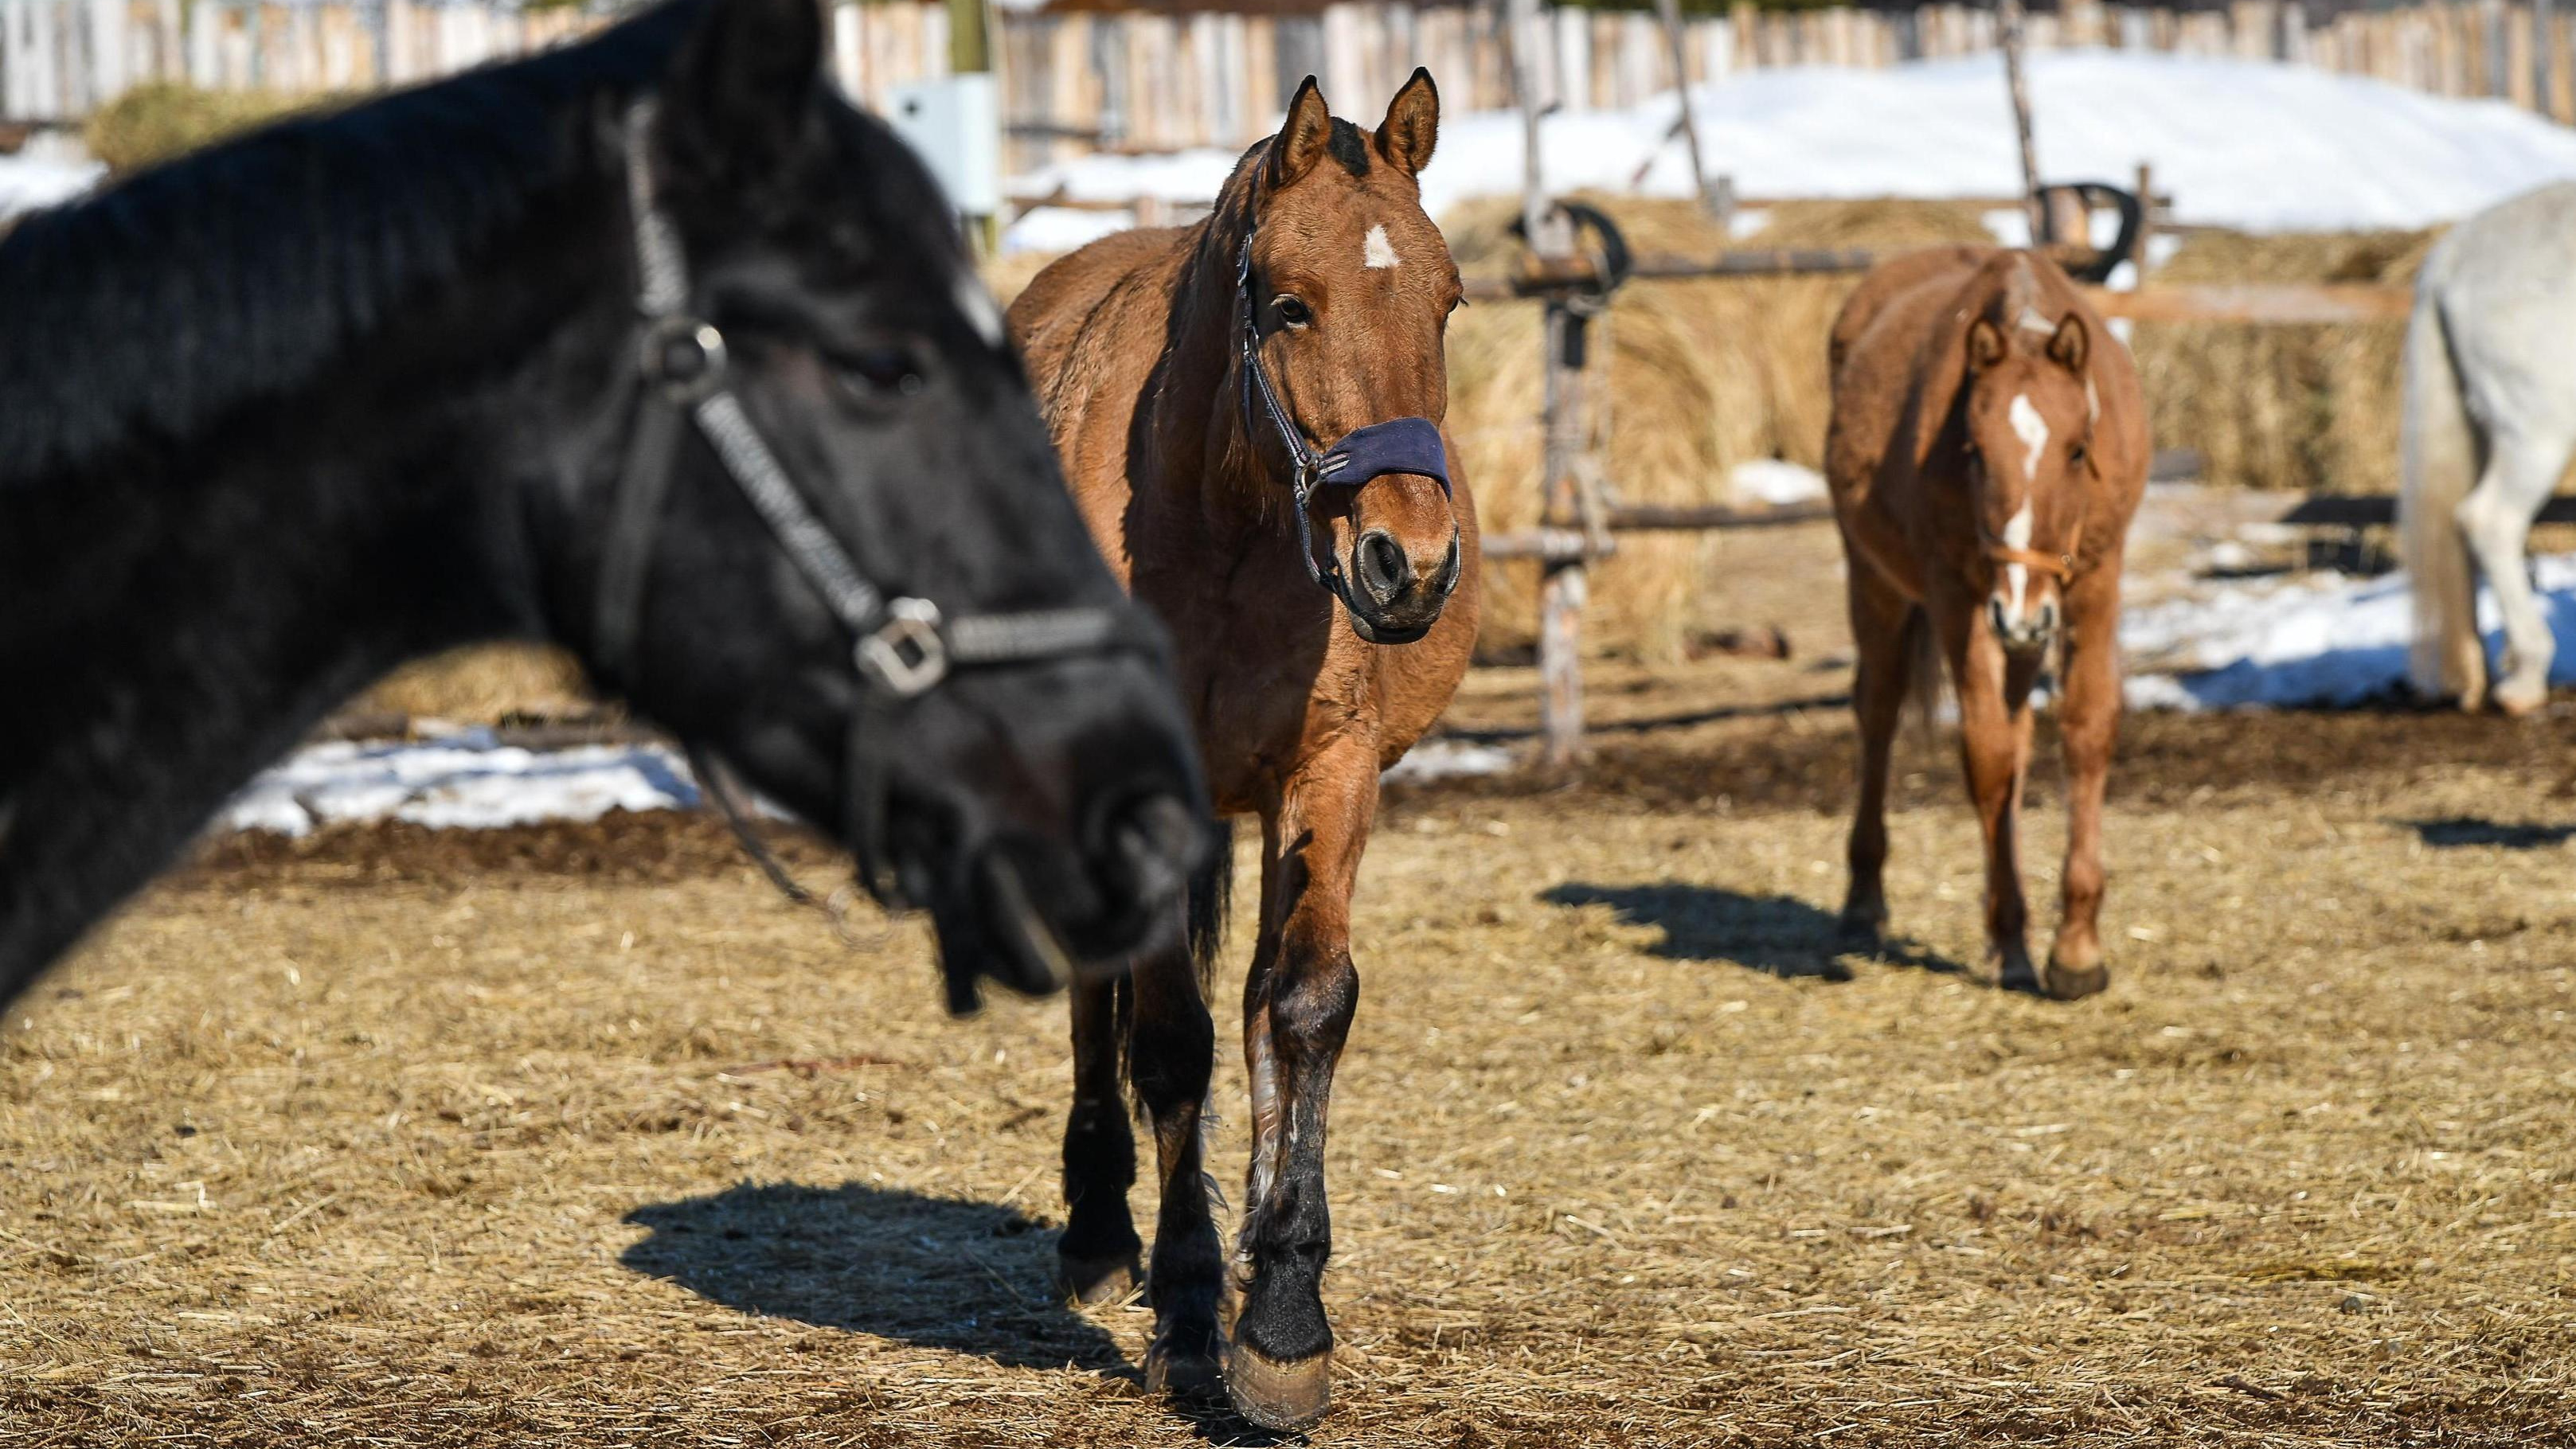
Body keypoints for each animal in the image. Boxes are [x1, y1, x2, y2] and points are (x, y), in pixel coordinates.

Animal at [1010, 73, 1483, 1431]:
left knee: (1263, 997)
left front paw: (1277, 1316)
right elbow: (1169, 1044)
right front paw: (1182, 1311)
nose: (1406, 564)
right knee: (1097, 986)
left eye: (1445, 298)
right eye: (1287, 303)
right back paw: (1095, 1229)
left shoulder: (1326, 769)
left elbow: (1304, 1006)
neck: (1215, 523)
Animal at [1824, 247, 2143, 998]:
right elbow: (1987, 756)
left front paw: (2076, 949)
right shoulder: (1958, 597)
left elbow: (2085, 734)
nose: (2021, 610)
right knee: (1878, 710)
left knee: (2019, 726)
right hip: (1876, 581)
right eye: (1972, 449)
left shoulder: (2093, 583)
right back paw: (1863, 904)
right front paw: (2016, 941)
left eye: (2077, 450)